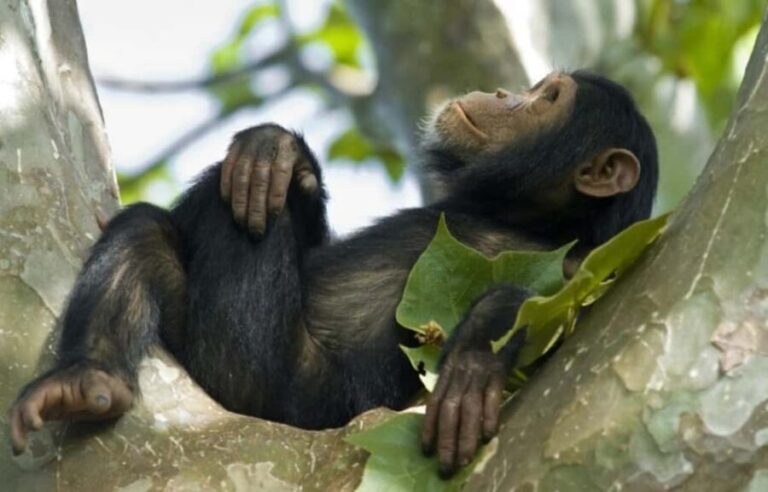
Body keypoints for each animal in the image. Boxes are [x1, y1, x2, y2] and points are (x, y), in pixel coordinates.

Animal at [8, 70, 658, 477]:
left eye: (548, 99)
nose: (506, 91)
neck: (524, 216)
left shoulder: (587, 263)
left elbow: (557, 308)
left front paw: (474, 363)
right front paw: (275, 152)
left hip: (264, 377)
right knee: (149, 231)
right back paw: (86, 379)